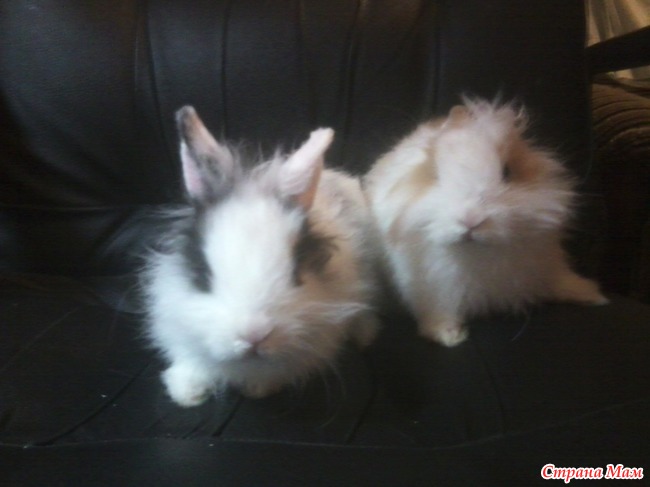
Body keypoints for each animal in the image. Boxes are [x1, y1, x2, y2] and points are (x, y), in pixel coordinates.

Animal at [364, 98, 608, 347]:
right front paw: (449, 336)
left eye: (507, 171)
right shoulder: (430, 289)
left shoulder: (545, 264)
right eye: (435, 174)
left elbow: (559, 280)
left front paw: (592, 294)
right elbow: (437, 311)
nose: (471, 220)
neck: (475, 255)